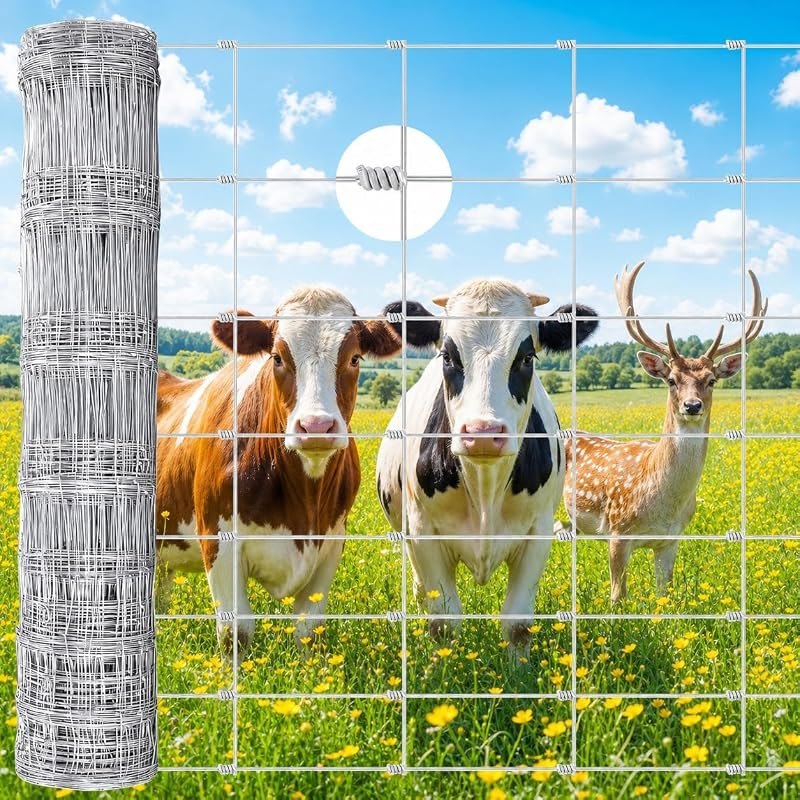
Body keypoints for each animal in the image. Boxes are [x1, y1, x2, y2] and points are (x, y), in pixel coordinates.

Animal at [156, 287, 404, 657]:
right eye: (276, 357)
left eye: (355, 358)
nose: (316, 426)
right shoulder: (217, 539)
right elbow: (236, 631)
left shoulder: (331, 542)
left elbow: (308, 628)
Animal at [376, 279, 597, 651]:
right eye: (447, 356)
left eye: (527, 357)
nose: (482, 433)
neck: (484, 488)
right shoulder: (422, 534)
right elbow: (444, 621)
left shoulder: (538, 532)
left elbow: (518, 623)